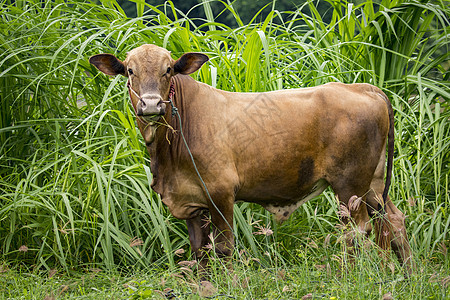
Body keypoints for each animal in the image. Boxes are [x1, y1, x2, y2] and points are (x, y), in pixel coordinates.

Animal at [89, 44, 414, 274]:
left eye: (168, 69)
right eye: (130, 71)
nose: (151, 104)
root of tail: (362, 87)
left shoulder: (221, 193)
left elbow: (223, 248)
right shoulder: (191, 201)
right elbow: (199, 252)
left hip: (350, 185)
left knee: (358, 231)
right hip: (374, 183)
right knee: (393, 221)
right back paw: (405, 275)